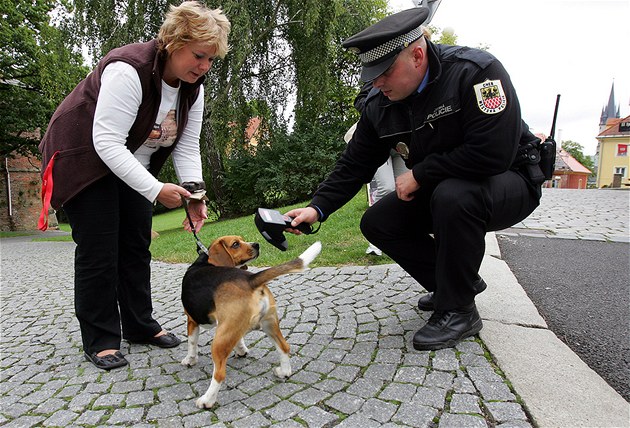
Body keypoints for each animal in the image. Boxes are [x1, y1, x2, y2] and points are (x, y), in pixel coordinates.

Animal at [181, 237, 320, 408]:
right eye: (236, 244)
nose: (256, 245)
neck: (205, 260)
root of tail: (249, 279)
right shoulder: (233, 328)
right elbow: (239, 340)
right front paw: (241, 351)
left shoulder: (192, 320)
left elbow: (191, 343)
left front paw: (190, 360)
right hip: (268, 324)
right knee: (284, 347)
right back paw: (283, 372)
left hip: (220, 339)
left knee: (219, 374)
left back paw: (206, 400)